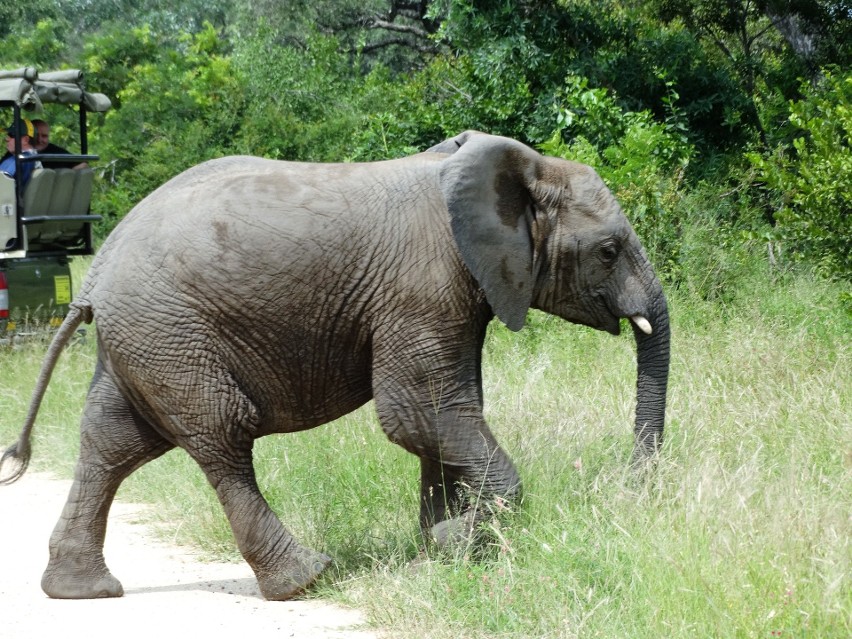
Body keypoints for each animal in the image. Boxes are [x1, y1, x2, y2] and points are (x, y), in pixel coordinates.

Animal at [0, 132, 668, 604]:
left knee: (112, 442)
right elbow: (417, 412)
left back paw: (82, 591)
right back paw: (305, 579)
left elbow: (445, 413)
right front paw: (462, 540)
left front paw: (441, 546)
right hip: (170, 332)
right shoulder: (424, 283)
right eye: (609, 251)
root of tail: (94, 275)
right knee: (220, 437)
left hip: (143, 338)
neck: (519, 167)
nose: (630, 485)